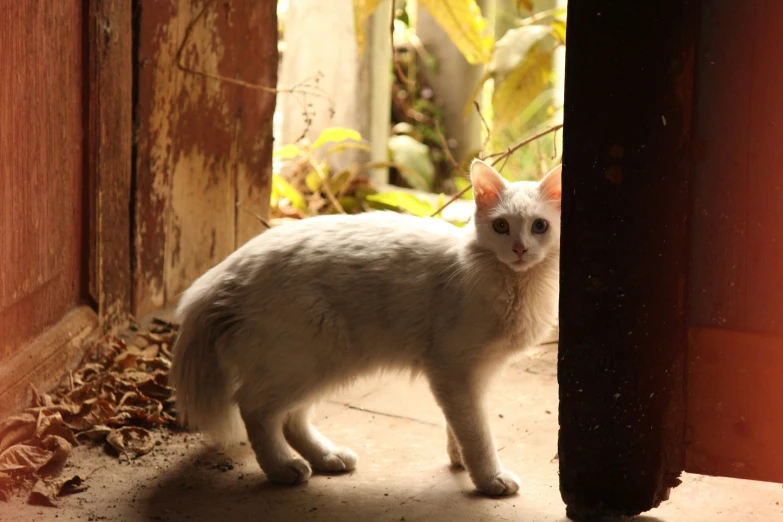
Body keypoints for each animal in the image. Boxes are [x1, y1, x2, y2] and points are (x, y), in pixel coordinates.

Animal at [172, 159, 564, 496]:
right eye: (501, 226)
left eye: (539, 226)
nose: (519, 249)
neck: (517, 285)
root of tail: (224, 273)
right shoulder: (453, 368)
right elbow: (476, 432)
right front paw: (488, 478)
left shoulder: (474, 375)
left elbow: (459, 426)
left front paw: (459, 462)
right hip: (302, 361)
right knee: (255, 410)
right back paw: (283, 469)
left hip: (318, 367)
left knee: (290, 418)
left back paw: (327, 457)